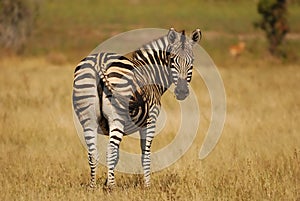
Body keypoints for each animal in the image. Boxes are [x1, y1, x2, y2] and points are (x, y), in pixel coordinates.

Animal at [73, 27, 202, 188]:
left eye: (192, 62)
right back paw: (112, 187)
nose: (182, 91)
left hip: (88, 118)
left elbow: (117, 157)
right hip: (117, 116)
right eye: (172, 60)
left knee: (93, 152)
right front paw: (147, 186)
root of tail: (99, 61)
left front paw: (105, 182)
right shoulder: (150, 120)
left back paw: (92, 187)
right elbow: (145, 154)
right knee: (110, 150)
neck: (152, 75)